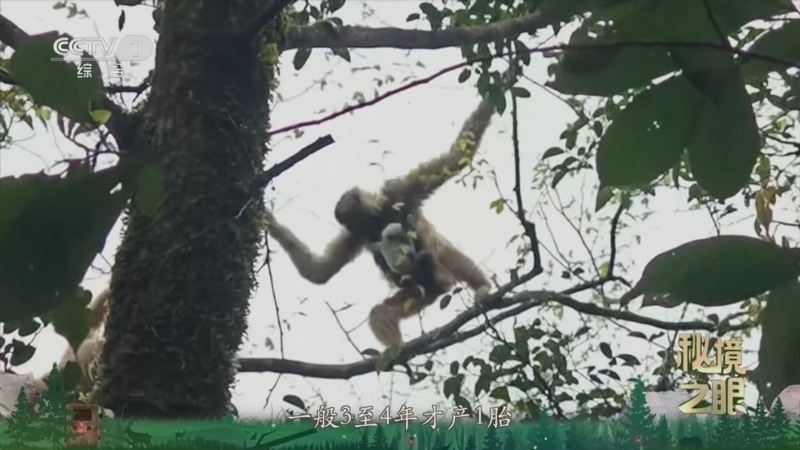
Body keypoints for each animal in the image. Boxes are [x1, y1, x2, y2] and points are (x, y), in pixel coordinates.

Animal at [264, 86, 507, 346]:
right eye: (353, 224)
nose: (357, 226)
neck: (377, 219)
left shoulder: (397, 192)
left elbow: (454, 159)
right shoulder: (355, 237)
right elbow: (319, 271)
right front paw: (268, 220)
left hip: (437, 269)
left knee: (440, 252)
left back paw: (482, 288)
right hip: (420, 294)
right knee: (382, 311)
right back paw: (400, 351)